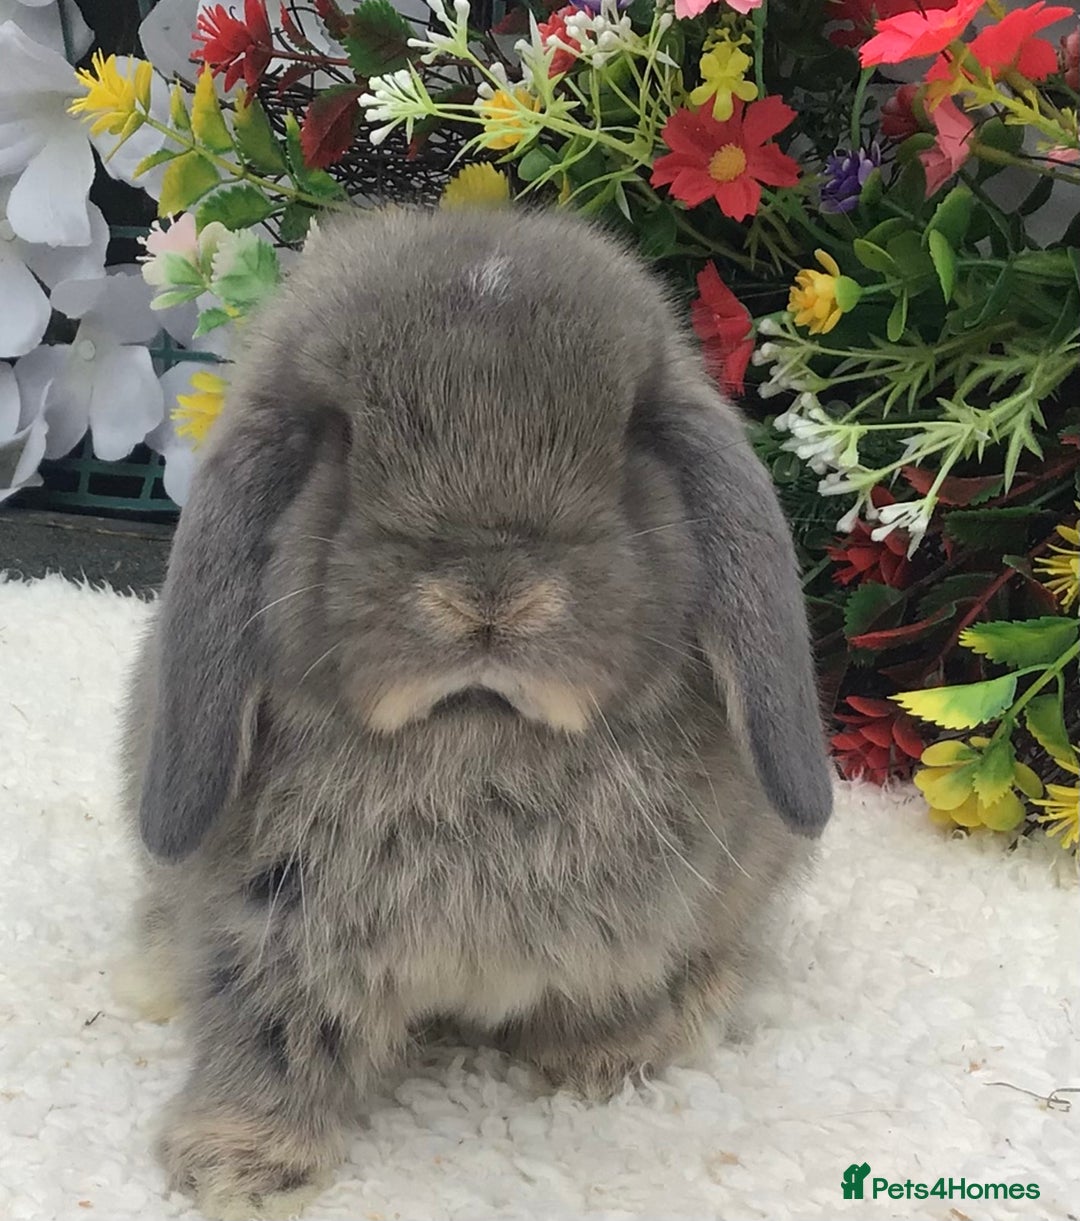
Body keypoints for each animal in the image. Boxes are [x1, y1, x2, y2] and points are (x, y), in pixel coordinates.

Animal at [117, 206, 833, 1220]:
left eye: (628, 438)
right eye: (340, 440)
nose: (490, 596)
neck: (477, 734)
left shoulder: (637, 929)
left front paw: (604, 1059)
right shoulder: (270, 926)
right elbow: (271, 1030)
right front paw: (237, 1167)